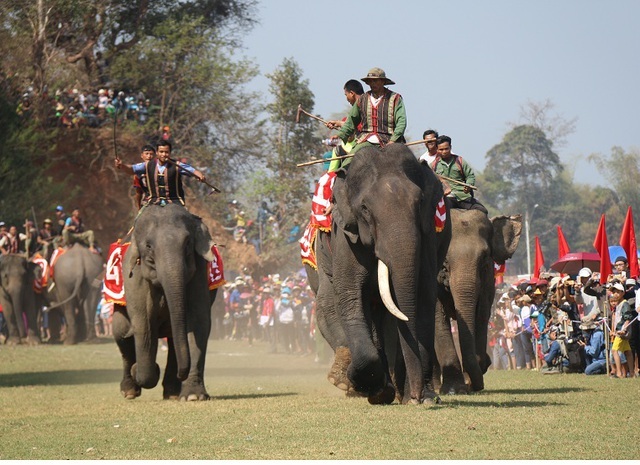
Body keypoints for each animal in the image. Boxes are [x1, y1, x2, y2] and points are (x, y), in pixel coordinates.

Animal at [112, 203, 218, 398]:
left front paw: (193, 396)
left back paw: (172, 392)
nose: (182, 374)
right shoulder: (135, 277)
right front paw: (141, 370)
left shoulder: (199, 270)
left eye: (188, 243)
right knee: (121, 333)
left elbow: (198, 321)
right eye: (148, 246)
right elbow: (143, 324)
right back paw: (129, 390)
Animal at [308, 145, 450, 402]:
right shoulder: (346, 235)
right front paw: (367, 386)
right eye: (364, 209)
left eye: (420, 202)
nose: (418, 396)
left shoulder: (427, 235)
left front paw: (418, 396)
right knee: (326, 304)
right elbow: (349, 296)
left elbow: (423, 295)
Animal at [432, 208, 524, 394]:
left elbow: (481, 315)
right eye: (444, 260)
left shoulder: (487, 282)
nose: (476, 385)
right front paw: (455, 390)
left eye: (484, 257)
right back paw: (436, 387)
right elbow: (438, 318)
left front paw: (475, 374)